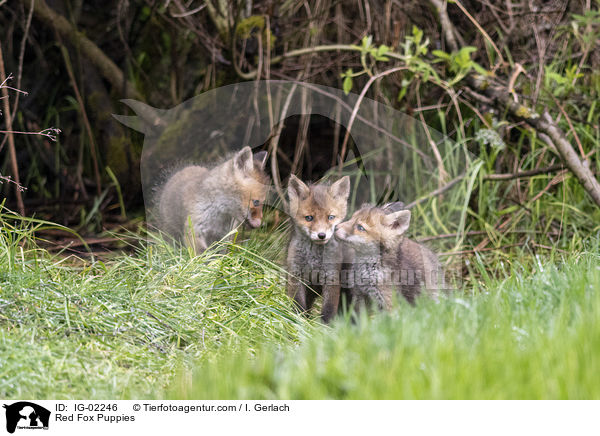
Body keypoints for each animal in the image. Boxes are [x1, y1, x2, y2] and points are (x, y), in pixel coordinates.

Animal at [288, 175, 352, 324]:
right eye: (309, 218)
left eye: (331, 217)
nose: (322, 235)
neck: (314, 260)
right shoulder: (295, 275)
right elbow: (298, 305)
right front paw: (298, 322)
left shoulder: (332, 277)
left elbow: (328, 309)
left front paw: (326, 327)